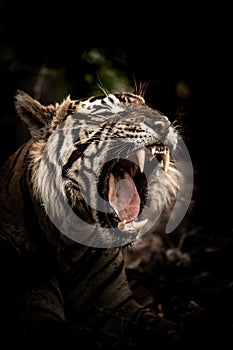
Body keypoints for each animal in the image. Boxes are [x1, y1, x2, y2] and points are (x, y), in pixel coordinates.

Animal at [0, 89, 187, 348]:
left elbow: (169, 329)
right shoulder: (40, 319)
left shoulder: (121, 307)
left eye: (145, 105)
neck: (70, 242)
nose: (163, 123)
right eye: (107, 113)